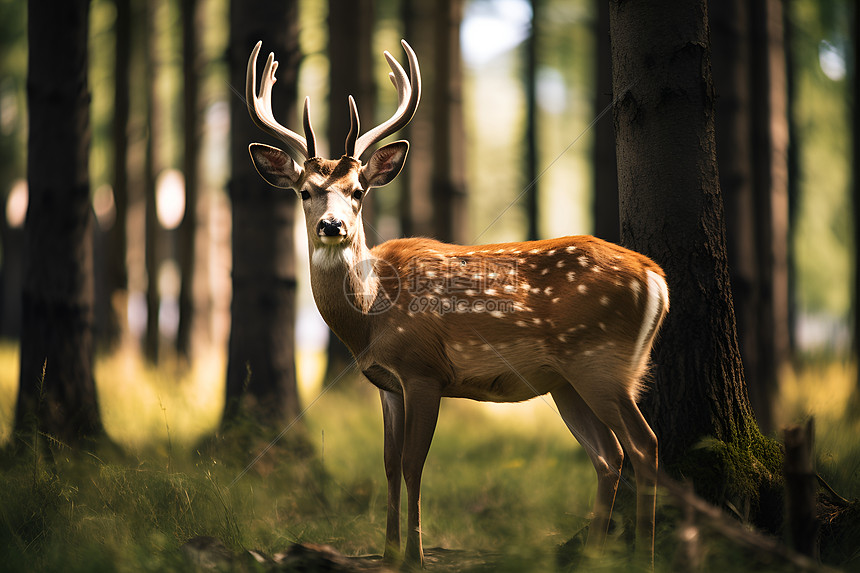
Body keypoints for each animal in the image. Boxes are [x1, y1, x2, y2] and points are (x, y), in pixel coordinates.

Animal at [245, 40, 668, 568]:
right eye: (305, 192)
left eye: (358, 192)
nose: (332, 226)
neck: (369, 317)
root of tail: (657, 277)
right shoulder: (387, 383)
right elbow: (388, 464)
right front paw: (388, 552)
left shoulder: (423, 369)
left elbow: (413, 464)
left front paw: (415, 555)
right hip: (567, 381)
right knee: (608, 456)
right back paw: (593, 556)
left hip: (602, 364)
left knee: (644, 445)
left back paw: (646, 557)